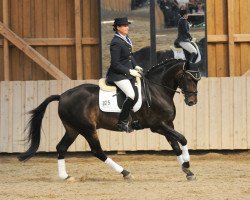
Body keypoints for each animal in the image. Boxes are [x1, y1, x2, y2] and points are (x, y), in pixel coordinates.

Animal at [18, 59, 199, 181]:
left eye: (197, 79)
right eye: (189, 78)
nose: (192, 102)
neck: (157, 89)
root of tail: (62, 96)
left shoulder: (167, 124)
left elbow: (175, 145)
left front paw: (187, 171)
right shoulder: (158, 125)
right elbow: (182, 139)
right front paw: (187, 165)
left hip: (73, 129)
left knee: (61, 147)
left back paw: (65, 176)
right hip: (87, 129)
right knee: (97, 151)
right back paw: (126, 173)